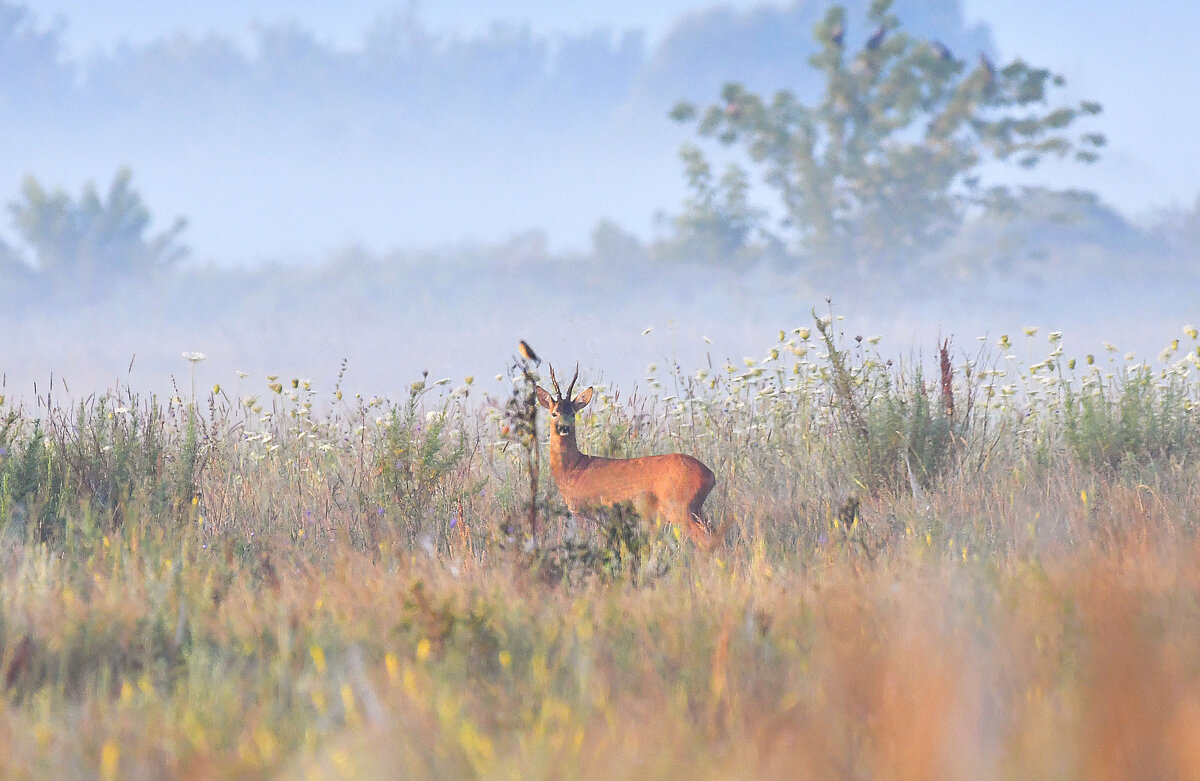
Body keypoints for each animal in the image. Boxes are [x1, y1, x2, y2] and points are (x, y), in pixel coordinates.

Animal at [537, 362, 720, 549]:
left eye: (573, 413)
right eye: (554, 413)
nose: (564, 428)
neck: (574, 467)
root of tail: (710, 475)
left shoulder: (584, 510)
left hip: (680, 508)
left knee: (704, 538)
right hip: (695, 508)